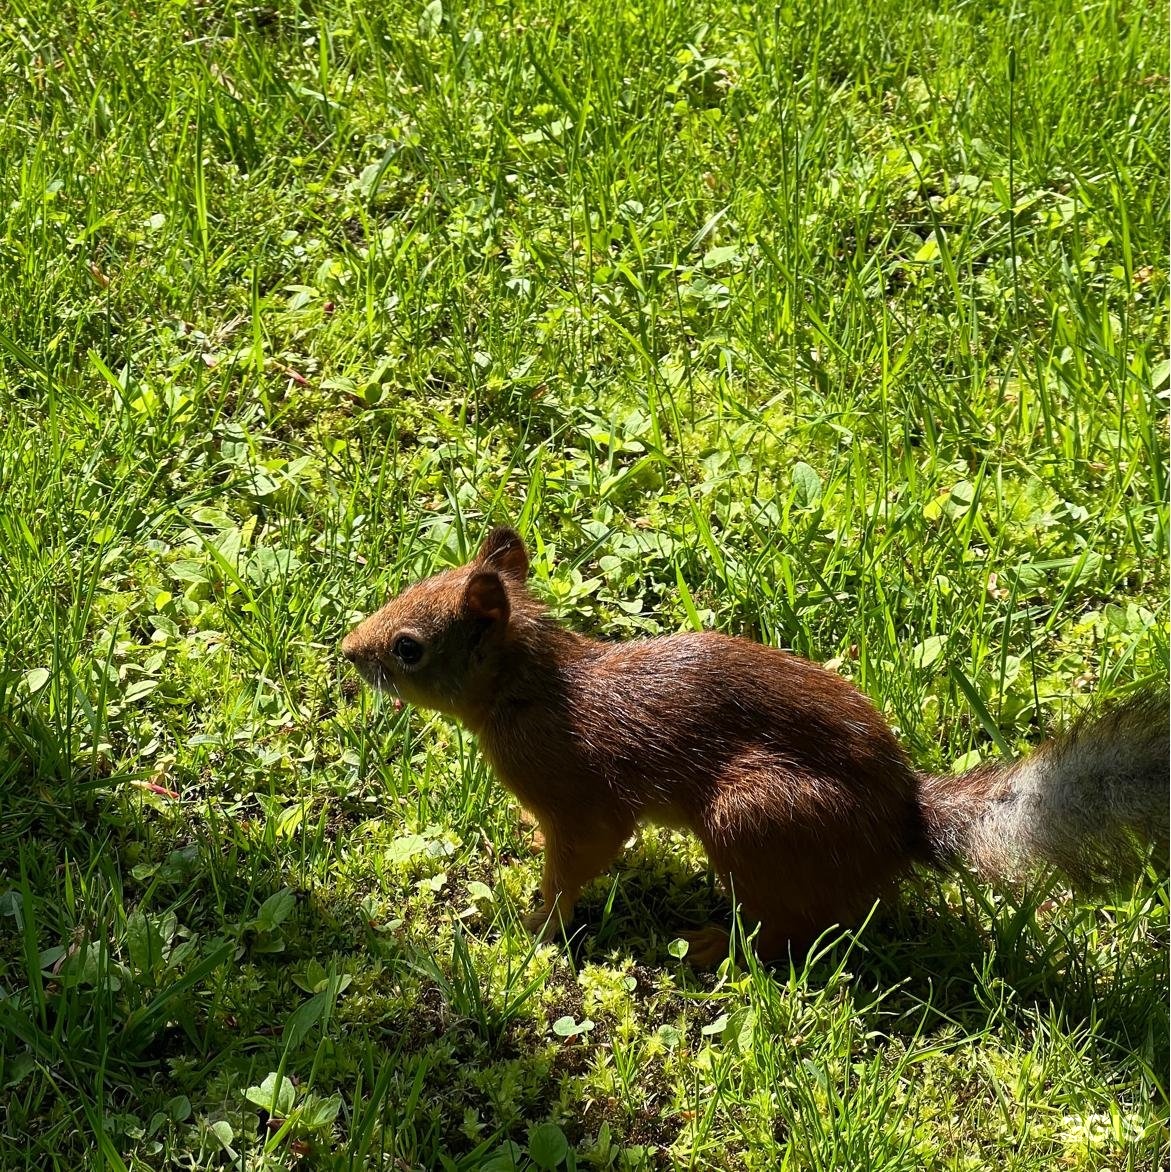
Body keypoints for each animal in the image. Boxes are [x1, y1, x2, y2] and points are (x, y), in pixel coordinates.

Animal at [342, 527, 1171, 965]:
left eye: (409, 648)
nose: (349, 651)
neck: (529, 687)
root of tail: (900, 824)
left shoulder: (575, 794)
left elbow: (580, 856)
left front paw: (533, 927)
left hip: (754, 816)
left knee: (788, 935)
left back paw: (710, 944)